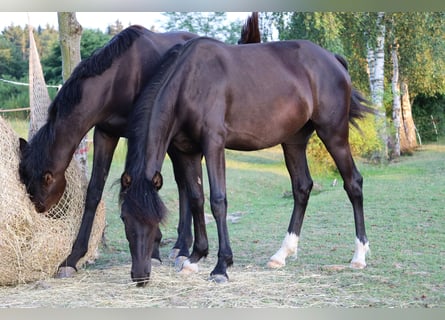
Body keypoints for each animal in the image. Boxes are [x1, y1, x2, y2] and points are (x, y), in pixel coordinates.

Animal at [18, 15, 260, 278]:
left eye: (43, 183)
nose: (41, 210)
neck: (118, 76)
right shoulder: (106, 133)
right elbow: (94, 192)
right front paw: (72, 258)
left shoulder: (140, 131)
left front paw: (153, 250)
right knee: (185, 184)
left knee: (183, 185)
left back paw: (183, 247)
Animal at [119, 36, 372, 286]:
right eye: (124, 218)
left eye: (156, 220)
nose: (140, 276)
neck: (188, 83)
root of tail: (334, 60)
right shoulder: (186, 152)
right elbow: (196, 199)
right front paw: (195, 257)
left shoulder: (213, 144)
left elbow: (218, 201)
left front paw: (221, 266)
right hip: (294, 140)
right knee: (302, 188)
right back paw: (281, 254)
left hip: (333, 133)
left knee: (353, 183)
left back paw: (359, 256)